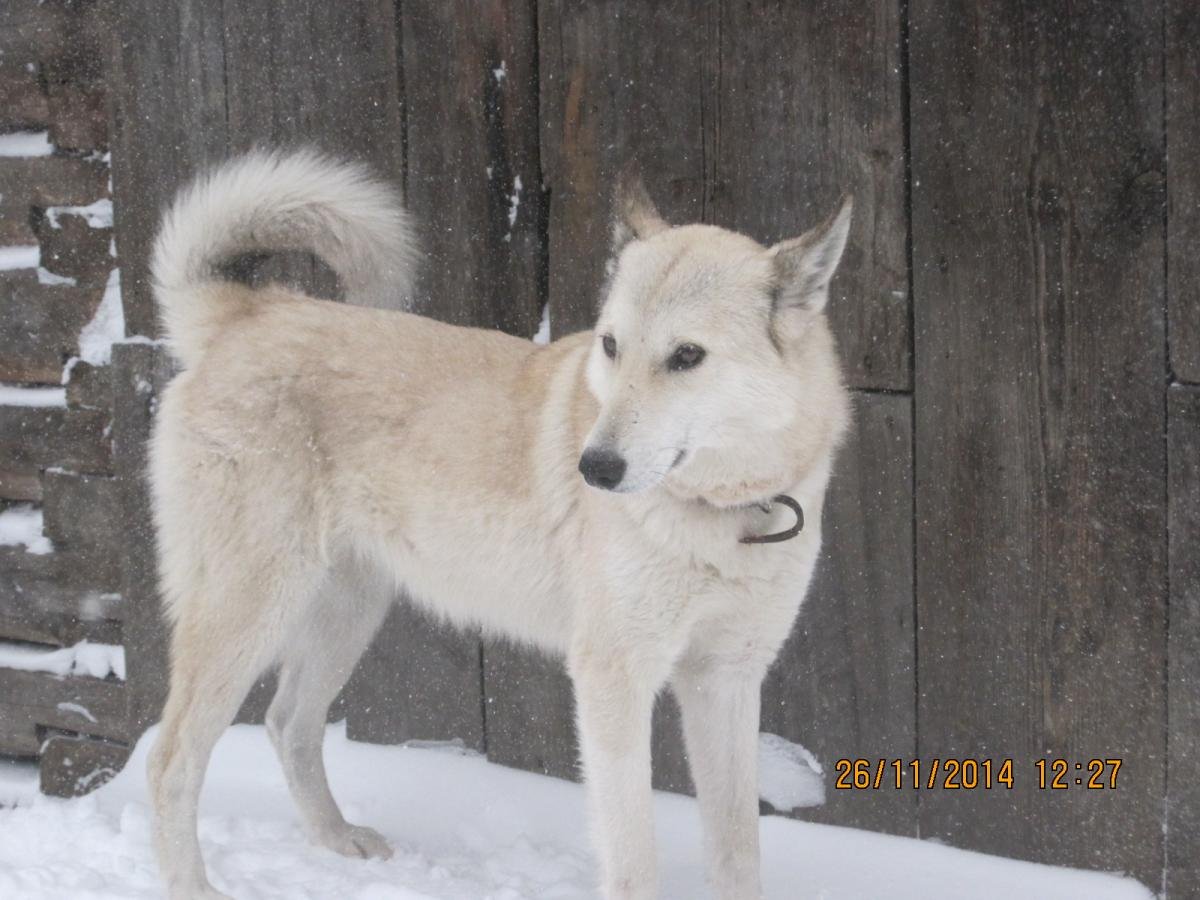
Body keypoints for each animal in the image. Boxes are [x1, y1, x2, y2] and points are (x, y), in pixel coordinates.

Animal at [145, 151, 854, 897]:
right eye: (611, 346)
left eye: (687, 356)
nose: (594, 468)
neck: (722, 509)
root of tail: (247, 315)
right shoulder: (614, 679)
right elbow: (633, 861)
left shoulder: (726, 679)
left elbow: (738, 851)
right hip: (248, 609)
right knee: (171, 759)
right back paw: (193, 886)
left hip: (349, 609)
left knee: (288, 724)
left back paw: (337, 841)